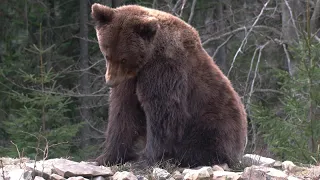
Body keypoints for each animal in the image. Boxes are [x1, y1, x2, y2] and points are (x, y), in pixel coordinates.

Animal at [90, 2, 248, 168]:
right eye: (107, 55)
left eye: (124, 58)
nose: (110, 82)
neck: (147, 58)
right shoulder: (130, 80)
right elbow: (123, 112)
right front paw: (107, 157)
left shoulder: (165, 68)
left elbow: (163, 113)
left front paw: (147, 159)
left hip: (215, 120)